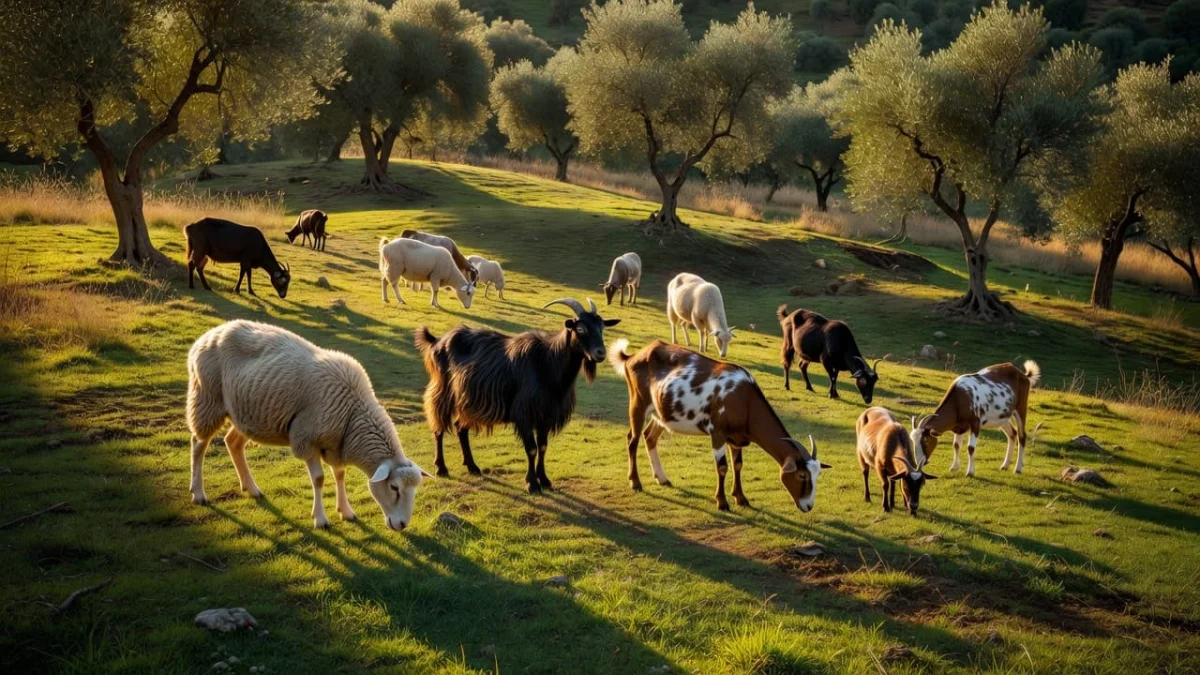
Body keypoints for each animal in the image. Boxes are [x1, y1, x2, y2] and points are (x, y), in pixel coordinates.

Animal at [186, 320, 431, 531]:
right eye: (394, 487)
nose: (402, 525)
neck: (352, 412)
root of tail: (209, 334)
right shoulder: (307, 438)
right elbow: (319, 479)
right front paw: (320, 519)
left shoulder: (335, 444)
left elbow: (340, 474)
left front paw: (346, 511)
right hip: (208, 399)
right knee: (198, 444)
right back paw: (198, 493)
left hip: (248, 413)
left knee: (233, 443)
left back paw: (252, 489)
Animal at [415, 298, 619, 493]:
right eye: (580, 328)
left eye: (601, 327)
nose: (600, 353)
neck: (549, 364)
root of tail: (437, 341)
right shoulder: (525, 413)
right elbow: (532, 449)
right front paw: (532, 484)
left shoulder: (546, 415)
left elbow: (543, 446)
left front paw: (544, 480)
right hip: (443, 389)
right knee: (438, 427)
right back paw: (441, 469)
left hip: (467, 401)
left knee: (460, 427)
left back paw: (472, 466)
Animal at [608, 340, 830, 512]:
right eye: (802, 475)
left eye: (817, 475)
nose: (808, 506)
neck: (745, 400)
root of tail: (632, 357)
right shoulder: (717, 432)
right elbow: (722, 467)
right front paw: (722, 502)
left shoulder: (737, 438)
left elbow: (738, 465)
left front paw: (741, 498)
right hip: (638, 402)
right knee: (632, 439)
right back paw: (635, 482)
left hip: (661, 413)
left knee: (649, 436)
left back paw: (662, 478)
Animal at [912, 361, 1041, 476]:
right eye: (913, 441)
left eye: (925, 440)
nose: (920, 462)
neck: (959, 398)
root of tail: (1023, 374)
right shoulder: (959, 426)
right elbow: (956, 445)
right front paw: (954, 467)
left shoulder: (976, 422)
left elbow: (971, 448)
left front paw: (970, 472)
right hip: (1002, 417)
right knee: (1012, 433)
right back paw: (1005, 466)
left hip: (1020, 408)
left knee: (1022, 435)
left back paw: (1017, 469)